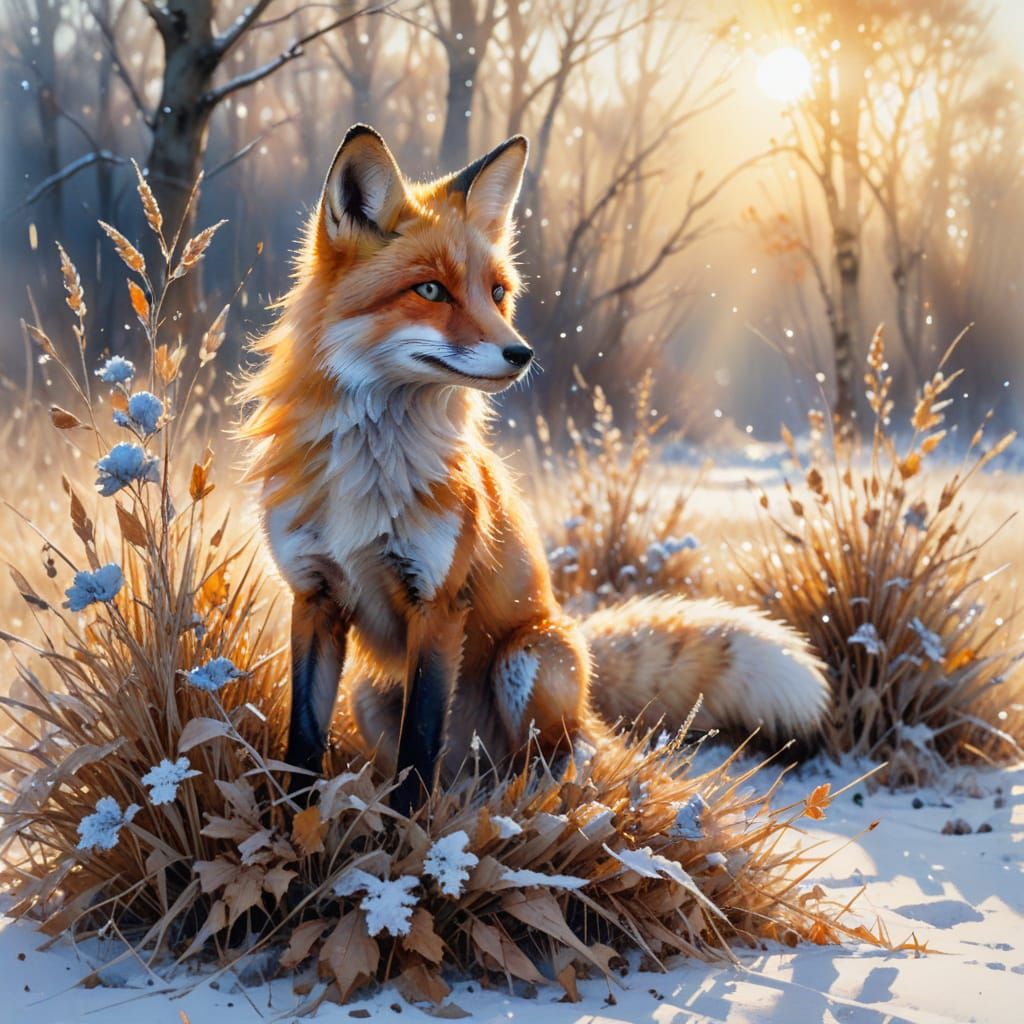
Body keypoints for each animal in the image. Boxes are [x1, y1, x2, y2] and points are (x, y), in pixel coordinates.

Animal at [239, 124, 830, 811]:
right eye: (430, 290)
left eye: (497, 293)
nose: (521, 353)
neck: (369, 474)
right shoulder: (315, 596)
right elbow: (304, 749)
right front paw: (293, 827)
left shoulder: (438, 603)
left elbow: (418, 755)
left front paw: (404, 832)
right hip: (369, 694)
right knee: (461, 770)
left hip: (527, 659)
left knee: (556, 761)